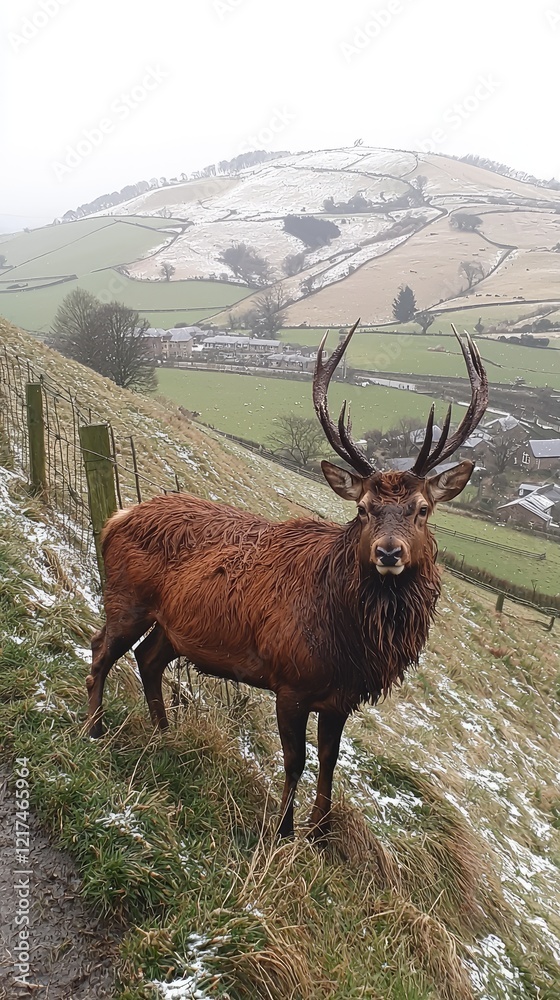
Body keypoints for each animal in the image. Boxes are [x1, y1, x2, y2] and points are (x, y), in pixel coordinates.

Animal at [86, 322, 488, 839]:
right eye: (363, 509)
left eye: (422, 509)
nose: (388, 553)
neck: (351, 644)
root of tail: (117, 517)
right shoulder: (290, 682)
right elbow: (295, 760)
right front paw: (282, 831)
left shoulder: (342, 699)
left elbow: (330, 763)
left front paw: (320, 832)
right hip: (126, 598)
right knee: (102, 649)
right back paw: (93, 729)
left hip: (173, 626)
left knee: (148, 658)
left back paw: (164, 733)